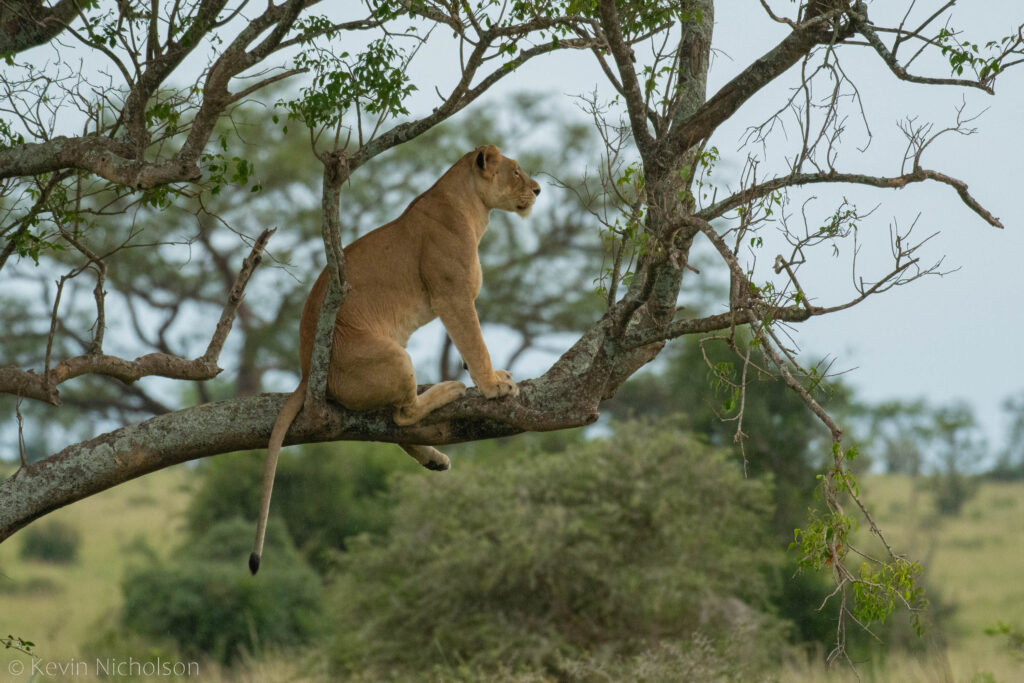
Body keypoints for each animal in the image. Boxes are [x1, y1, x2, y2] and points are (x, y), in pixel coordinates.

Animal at [249, 145, 541, 573]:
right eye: (516, 171)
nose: (538, 190)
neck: (473, 208)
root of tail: (305, 372)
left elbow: (468, 346)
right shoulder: (452, 295)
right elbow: (474, 342)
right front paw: (492, 386)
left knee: (391, 424)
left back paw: (435, 458)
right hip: (395, 356)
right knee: (402, 415)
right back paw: (450, 389)